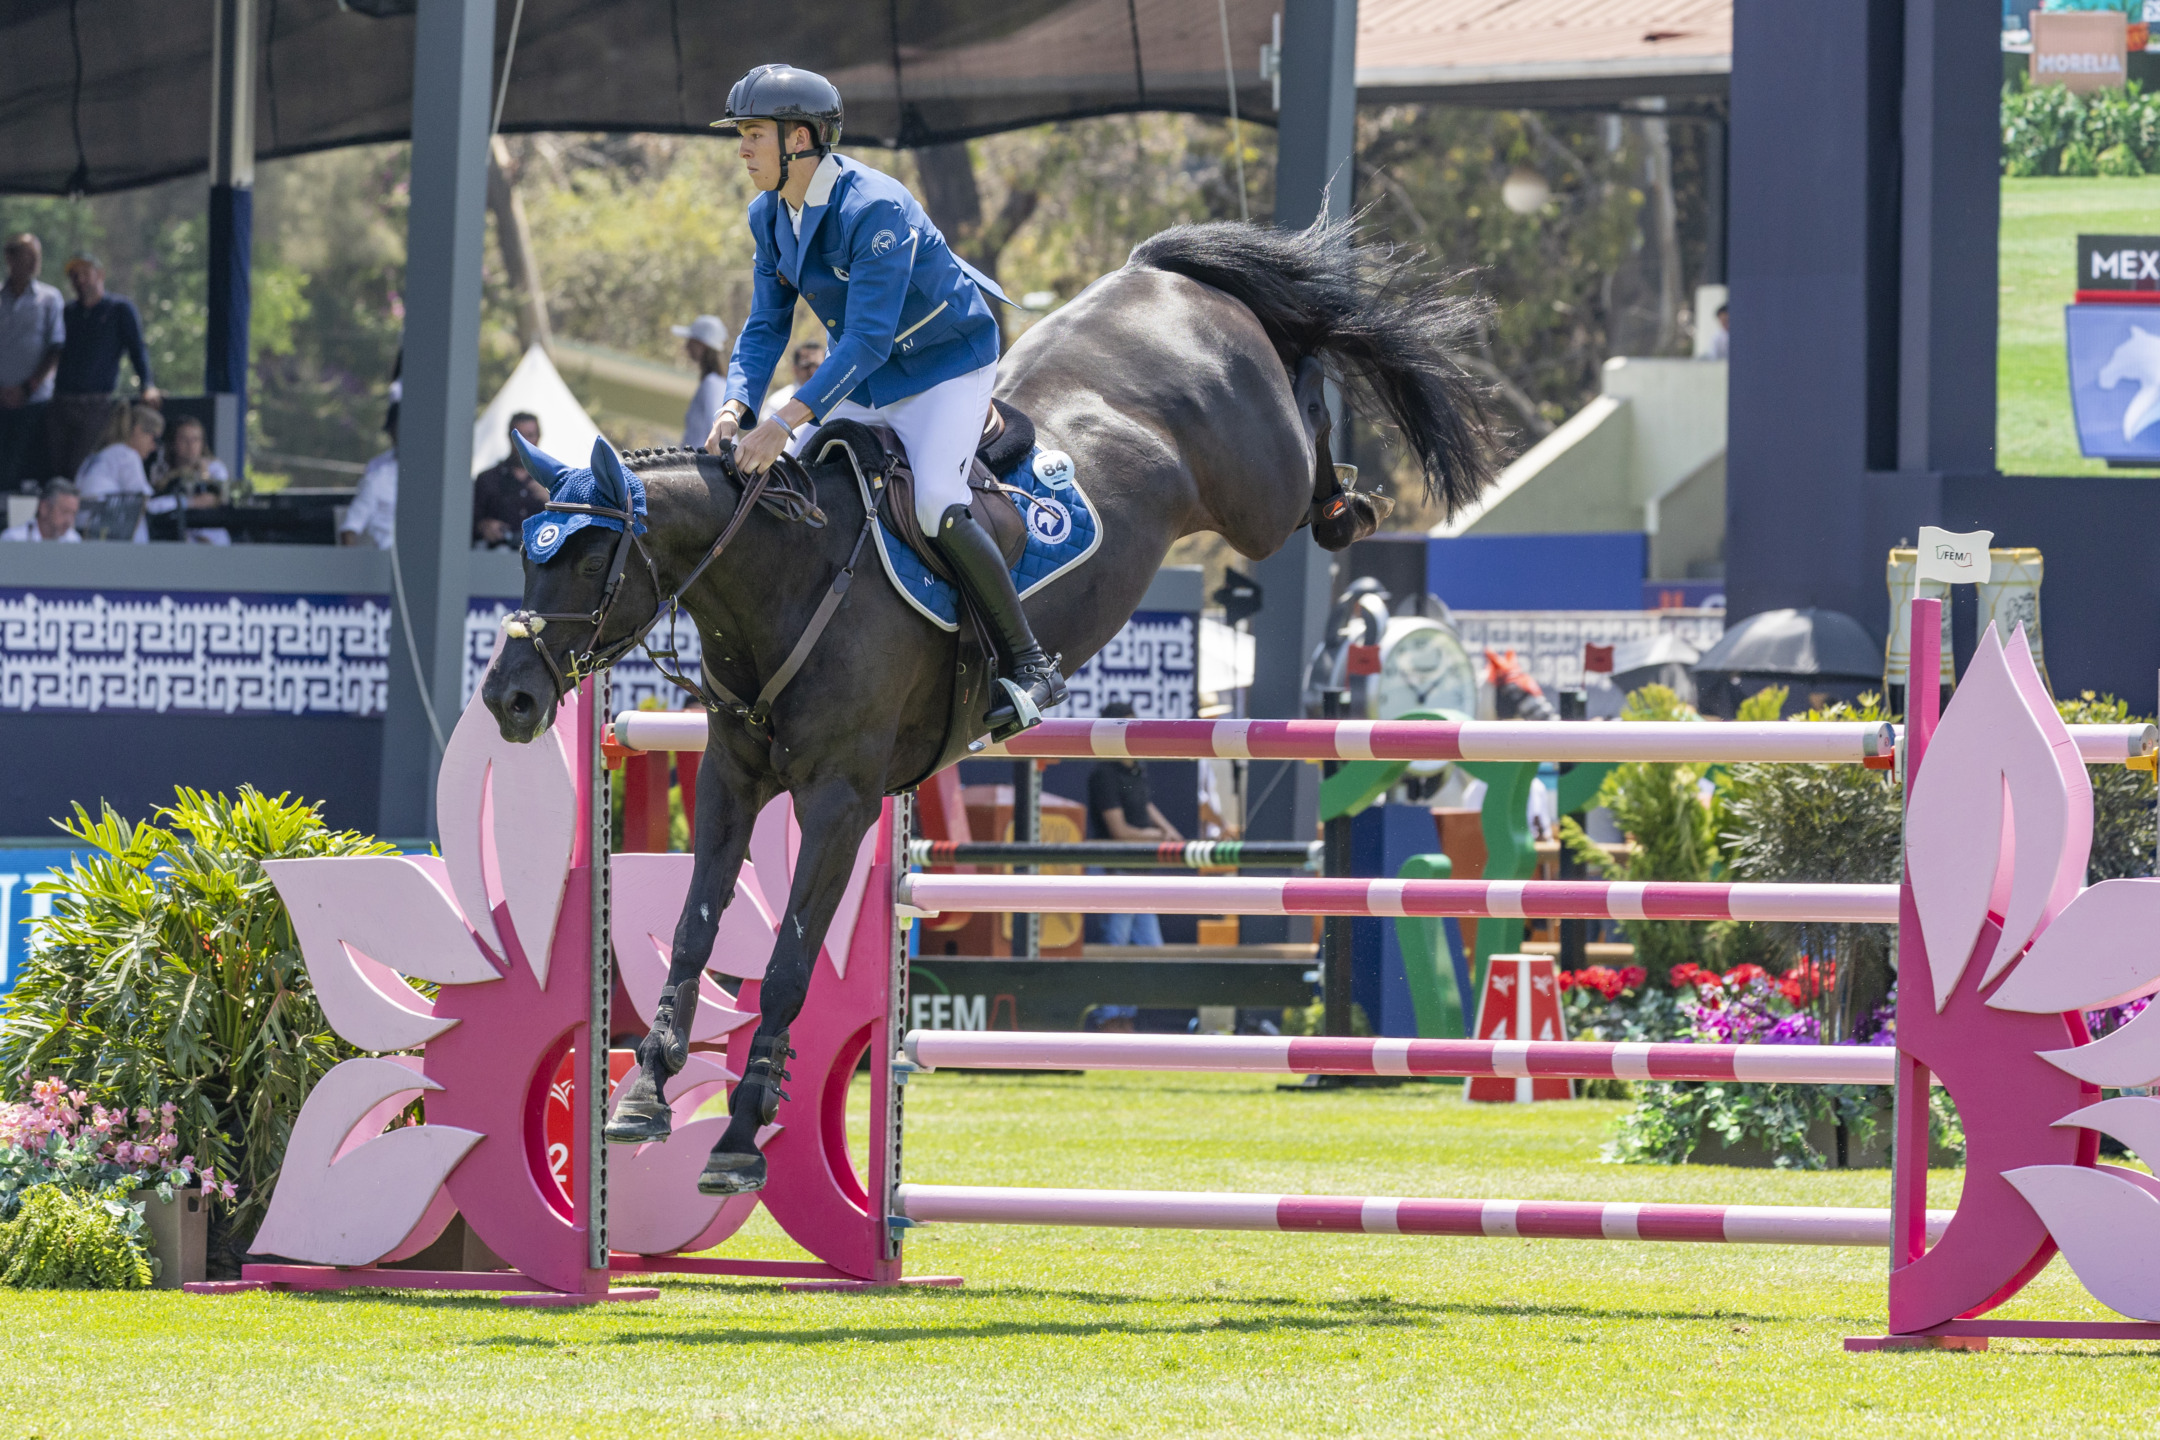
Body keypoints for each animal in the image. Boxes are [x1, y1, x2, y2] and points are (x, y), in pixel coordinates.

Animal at [481, 220, 1494, 1191]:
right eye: (528, 551)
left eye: (587, 558)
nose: (509, 697)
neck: (789, 577)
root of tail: (1159, 274)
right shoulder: (732, 779)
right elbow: (693, 932)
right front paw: (644, 1095)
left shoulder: (841, 802)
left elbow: (789, 968)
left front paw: (738, 1139)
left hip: (1257, 491)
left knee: (1308, 398)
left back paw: (1349, 498)